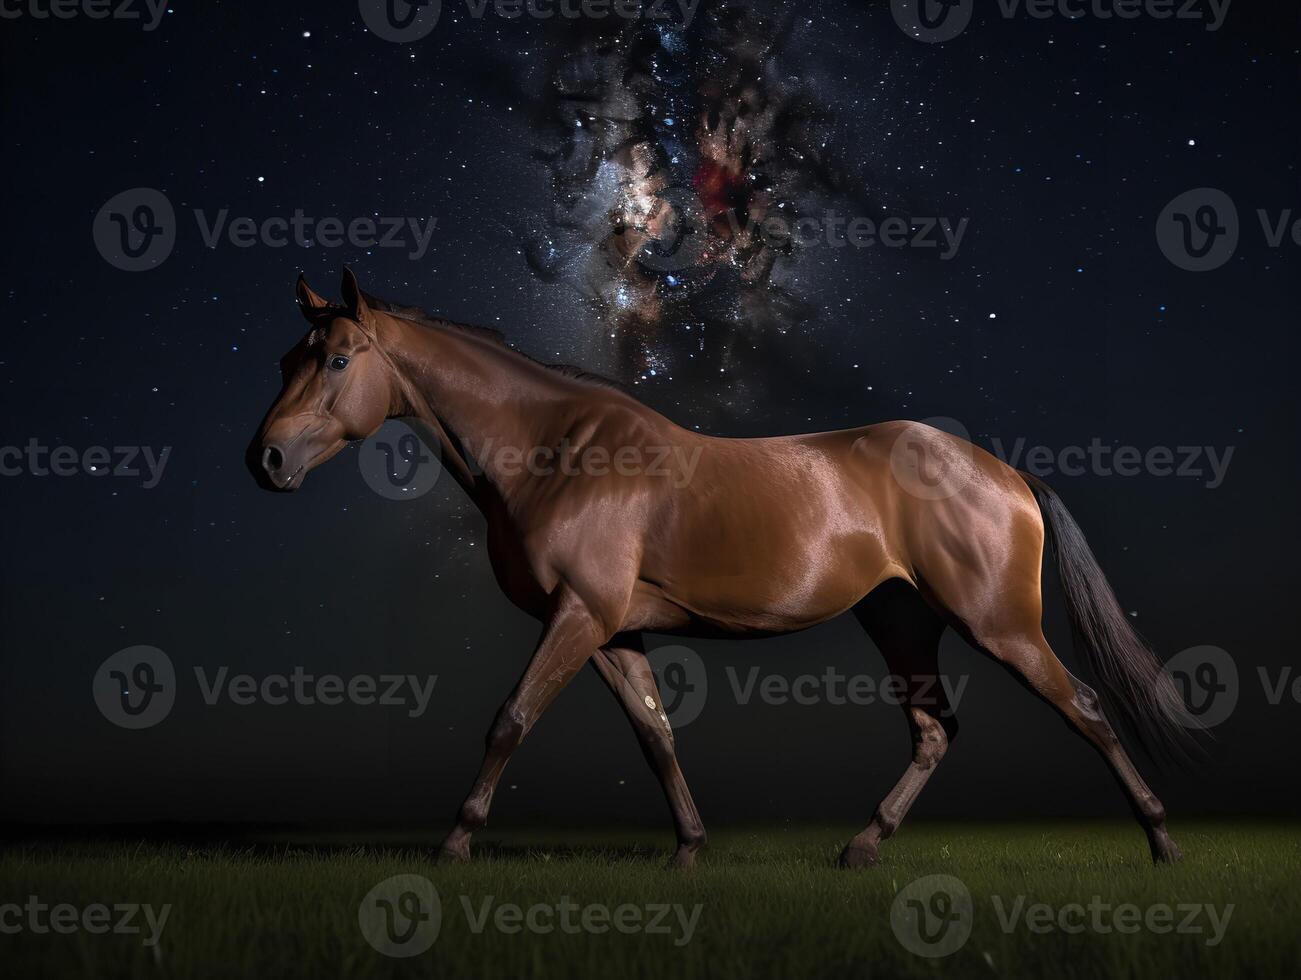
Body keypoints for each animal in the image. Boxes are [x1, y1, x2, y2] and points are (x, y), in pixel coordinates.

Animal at [245, 272, 1191, 869]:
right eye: (286, 359)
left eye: (337, 360)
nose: (267, 461)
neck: (554, 451)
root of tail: (1004, 472)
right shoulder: (610, 630)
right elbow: (656, 735)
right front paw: (689, 850)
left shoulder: (576, 616)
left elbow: (509, 721)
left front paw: (453, 845)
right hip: (900, 622)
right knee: (933, 732)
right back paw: (861, 847)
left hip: (998, 626)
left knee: (1085, 709)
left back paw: (1160, 841)